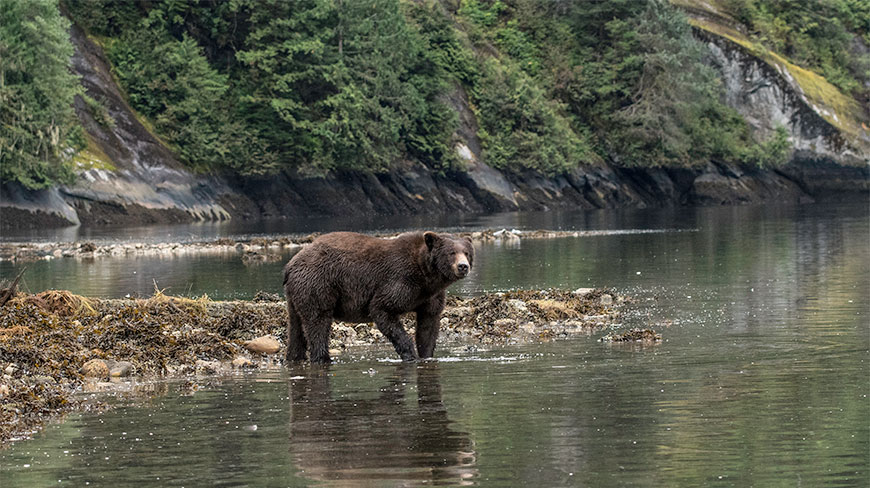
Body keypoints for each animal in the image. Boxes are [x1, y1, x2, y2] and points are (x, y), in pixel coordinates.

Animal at [283, 231, 474, 363]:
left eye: (467, 252)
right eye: (451, 253)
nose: (463, 266)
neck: (426, 275)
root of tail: (291, 264)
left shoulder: (431, 296)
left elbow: (428, 326)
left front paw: (426, 355)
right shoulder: (400, 280)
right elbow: (382, 309)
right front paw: (410, 354)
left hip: (296, 295)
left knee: (296, 329)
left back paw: (294, 357)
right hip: (318, 284)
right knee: (318, 322)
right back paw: (323, 358)